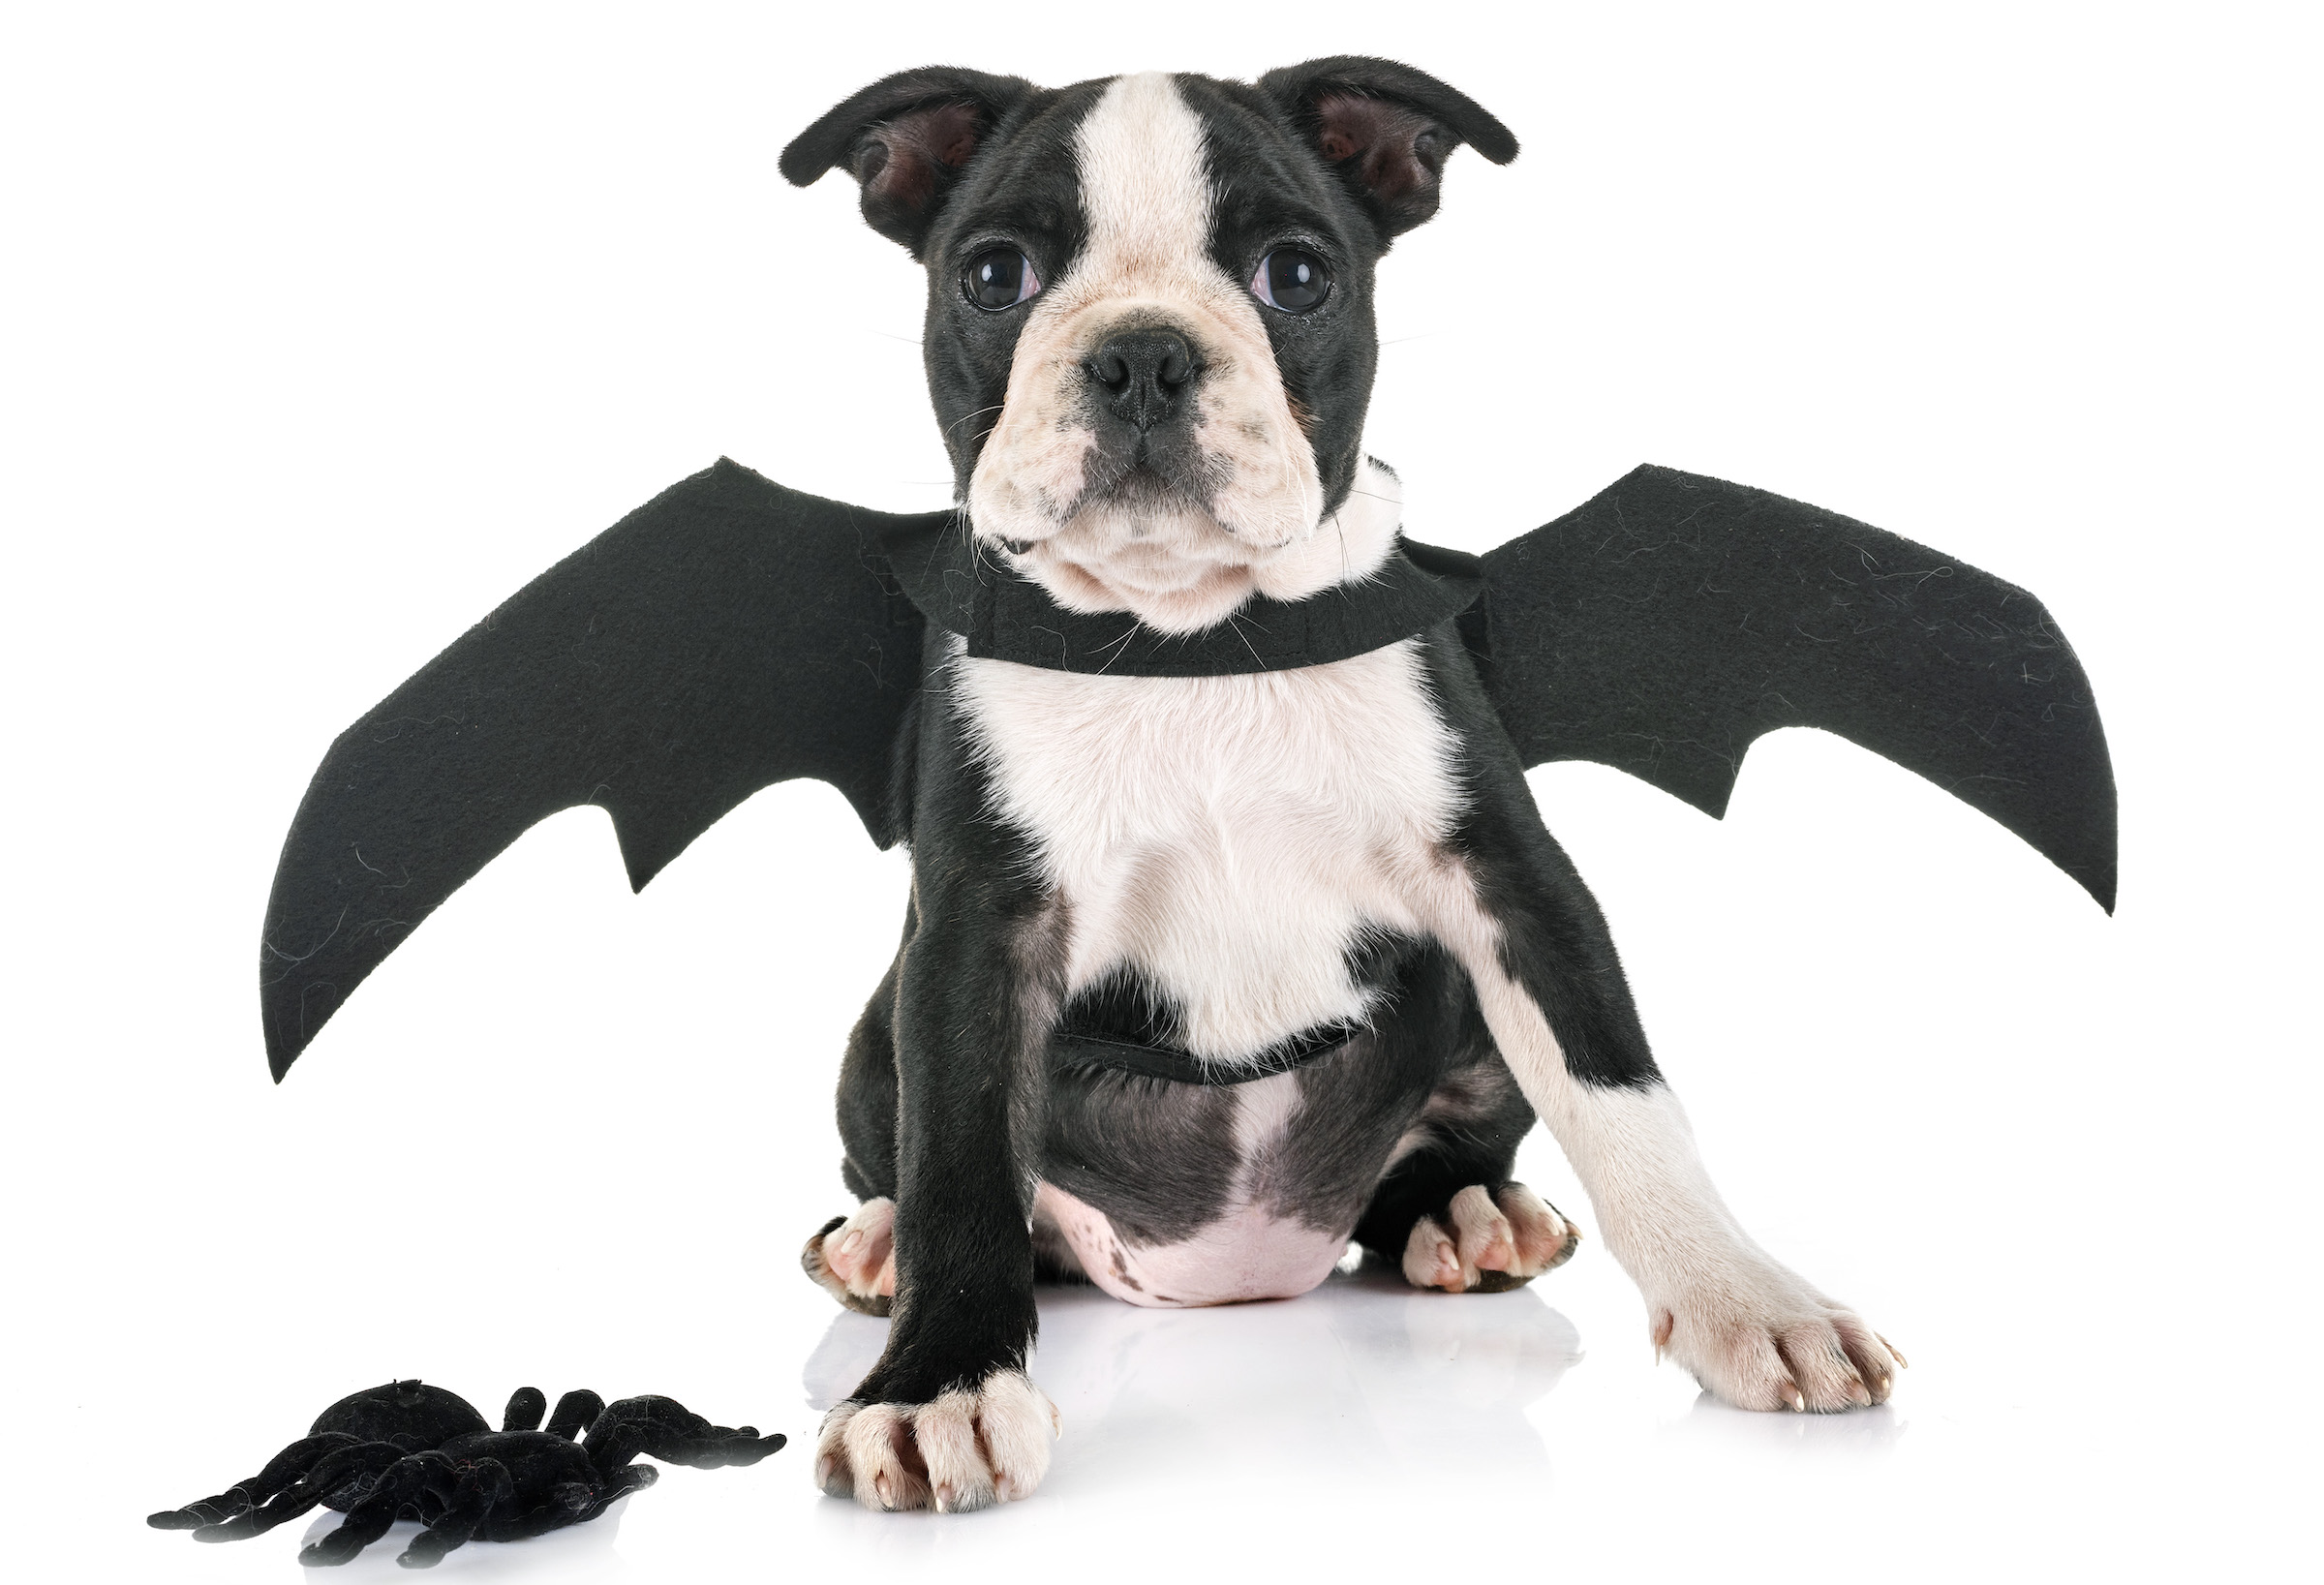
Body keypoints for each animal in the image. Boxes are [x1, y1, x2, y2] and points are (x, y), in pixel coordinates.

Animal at [780, 61, 1906, 1514]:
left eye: (1297, 274)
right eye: (994, 274)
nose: (1142, 354)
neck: (1190, 635)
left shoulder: (1514, 882)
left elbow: (1624, 1099)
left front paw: (1751, 1301)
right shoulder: (977, 931)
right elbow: (964, 1160)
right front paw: (940, 1387)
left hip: (1465, 1024)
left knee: (1444, 1150)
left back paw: (1466, 1212)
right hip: (876, 1038)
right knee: (918, 1168)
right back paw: (875, 1242)